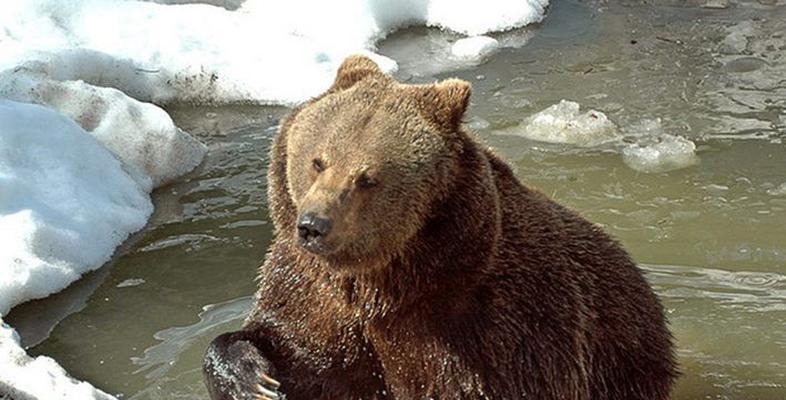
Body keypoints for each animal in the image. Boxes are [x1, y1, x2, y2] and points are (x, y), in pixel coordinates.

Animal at [205, 54, 676, 400]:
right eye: (318, 160)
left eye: (367, 178)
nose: (313, 225)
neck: (388, 277)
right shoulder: (315, 290)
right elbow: (294, 345)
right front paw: (253, 378)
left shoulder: (490, 323)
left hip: (622, 352)